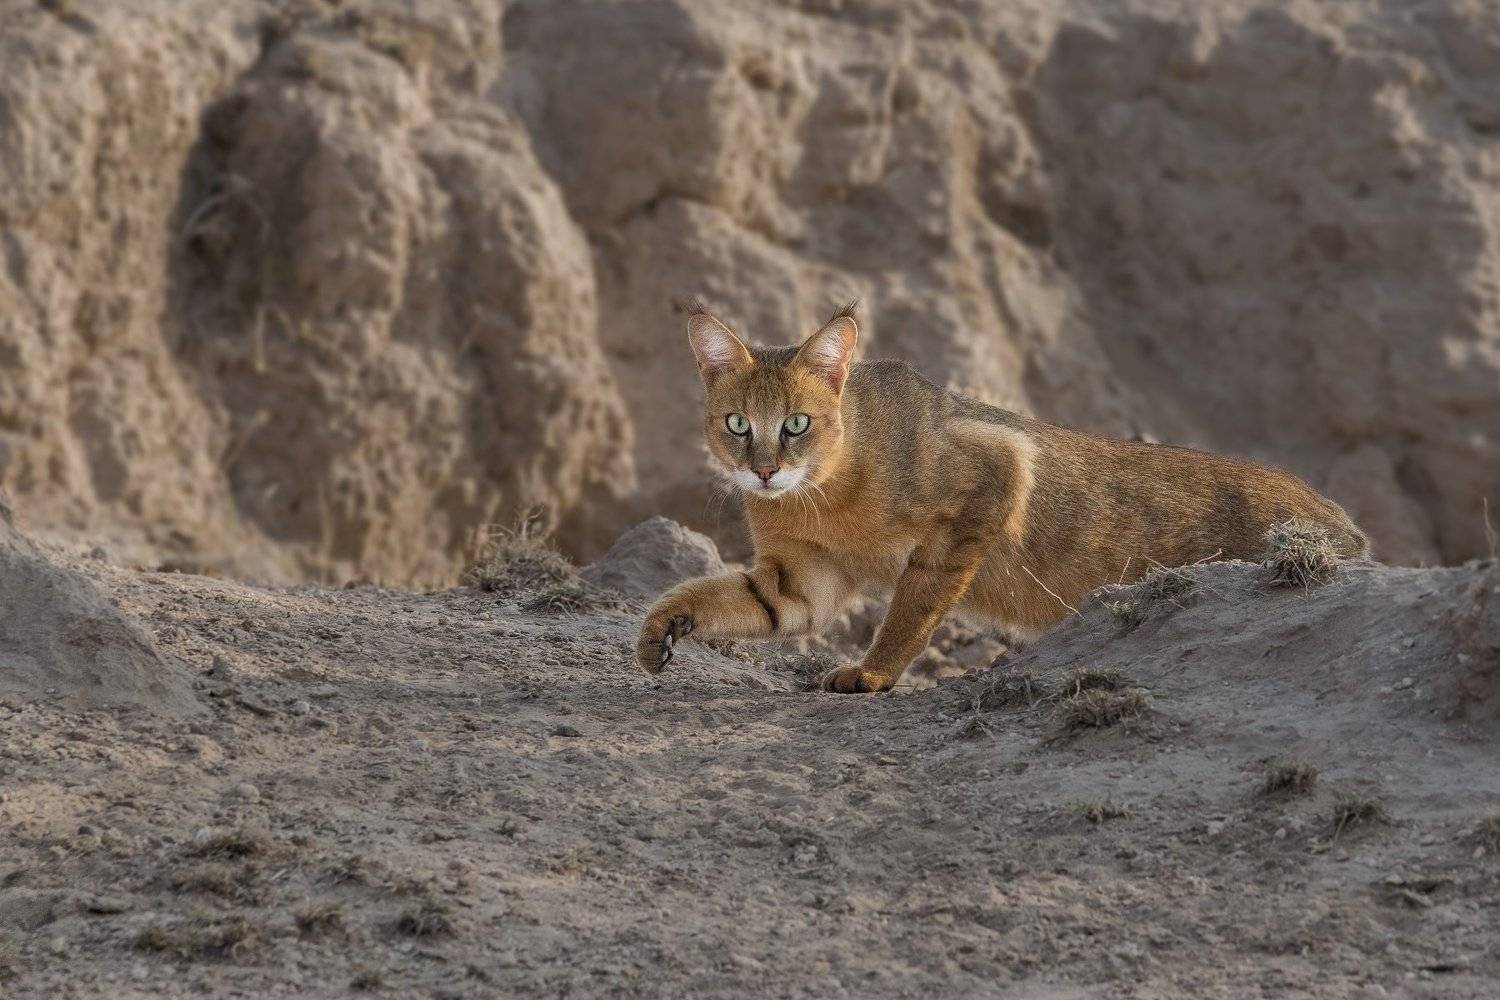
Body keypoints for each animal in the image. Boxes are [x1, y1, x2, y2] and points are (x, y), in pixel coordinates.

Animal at [636, 303, 1369, 693]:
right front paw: (662, 628)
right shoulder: (801, 580)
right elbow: (735, 599)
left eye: (797, 423)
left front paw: (873, 673)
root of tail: (1341, 521)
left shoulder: (994, 474)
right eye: (737, 423)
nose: (763, 472)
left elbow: (914, 603)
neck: (824, 493)